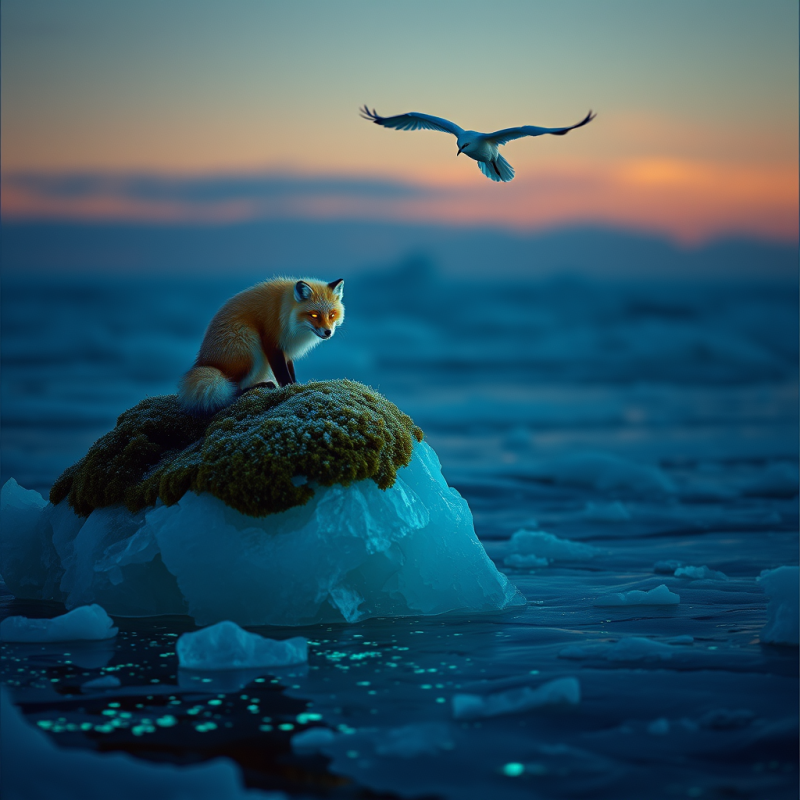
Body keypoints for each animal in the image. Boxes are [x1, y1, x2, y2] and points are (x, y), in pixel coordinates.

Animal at [178, 277, 344, 415]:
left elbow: (290, 370)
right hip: (250, 344)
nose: (328, 332)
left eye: (332, 315)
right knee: (233, 390)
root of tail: (203, 363)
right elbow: (282, 373)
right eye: (314, 315)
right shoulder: (271, 341)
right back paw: (261, 386)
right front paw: (290, 388)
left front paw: (296, 385)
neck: (284, 311)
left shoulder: (286, 348)